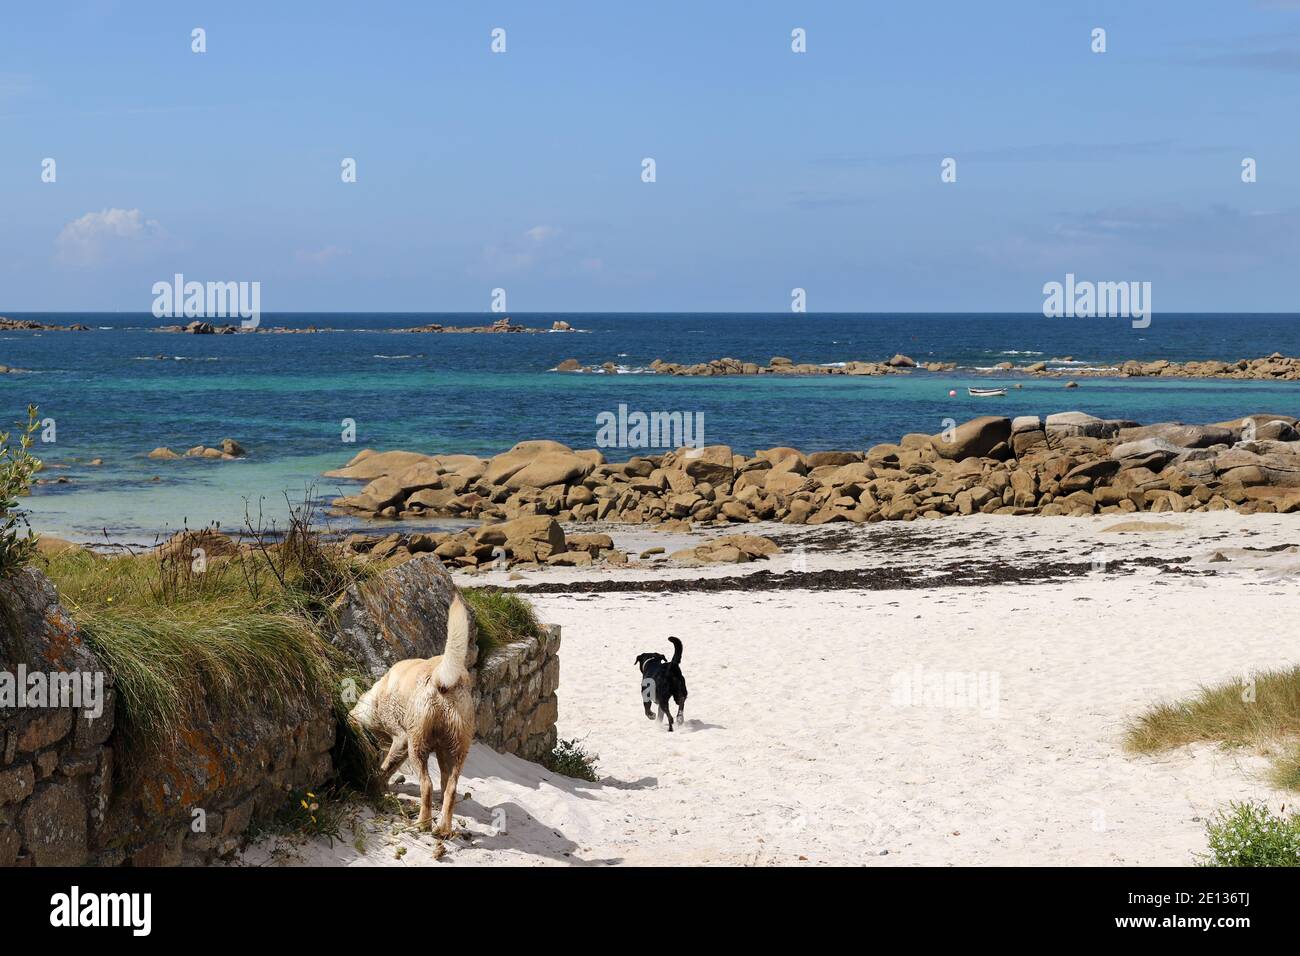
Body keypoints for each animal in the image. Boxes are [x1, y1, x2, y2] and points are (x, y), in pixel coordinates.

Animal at [351, 595, 478, 842]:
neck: (377, 697)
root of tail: (442, 679)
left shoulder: (401, 738)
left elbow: (386, 767)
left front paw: (376, 785)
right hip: (455, 751)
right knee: (450, 789)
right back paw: (443, 829)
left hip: (417, 746)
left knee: (426, 785)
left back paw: (423, 824)